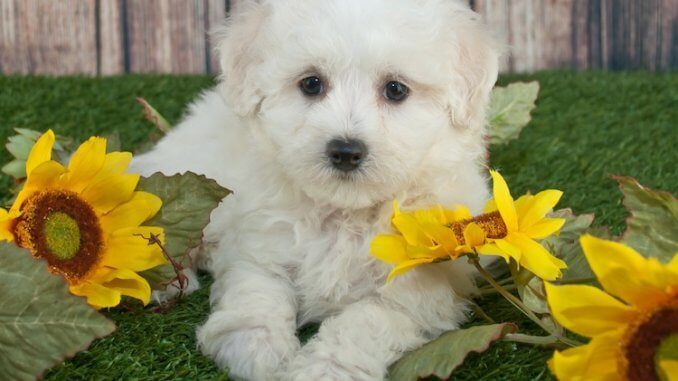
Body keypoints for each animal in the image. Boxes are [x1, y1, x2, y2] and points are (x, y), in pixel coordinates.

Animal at [131, 0, 500, 378]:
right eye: (311, 83)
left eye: (396, 89)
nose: (346, 151)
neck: (345, 213)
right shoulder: (259, 244)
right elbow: (257, 289)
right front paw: (256, 347)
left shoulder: (418, 291)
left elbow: (363, 325)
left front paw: (322, 370)